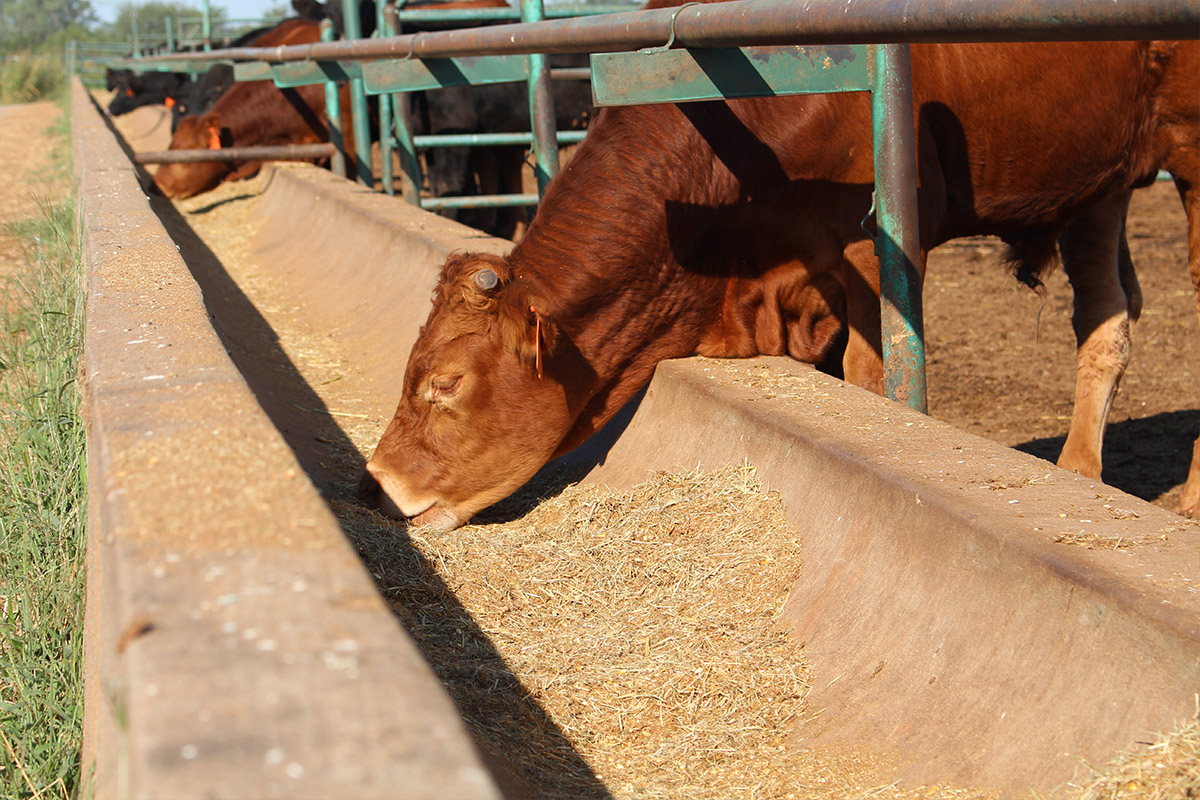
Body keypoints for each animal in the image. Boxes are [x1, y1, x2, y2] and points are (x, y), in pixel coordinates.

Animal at [360, 28, 1199, 530]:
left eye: (444, 384)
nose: (376, 481)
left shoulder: (878, 246)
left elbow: (873, 376)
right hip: (1102, 179)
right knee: (1107, 319)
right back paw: (1080, 473)